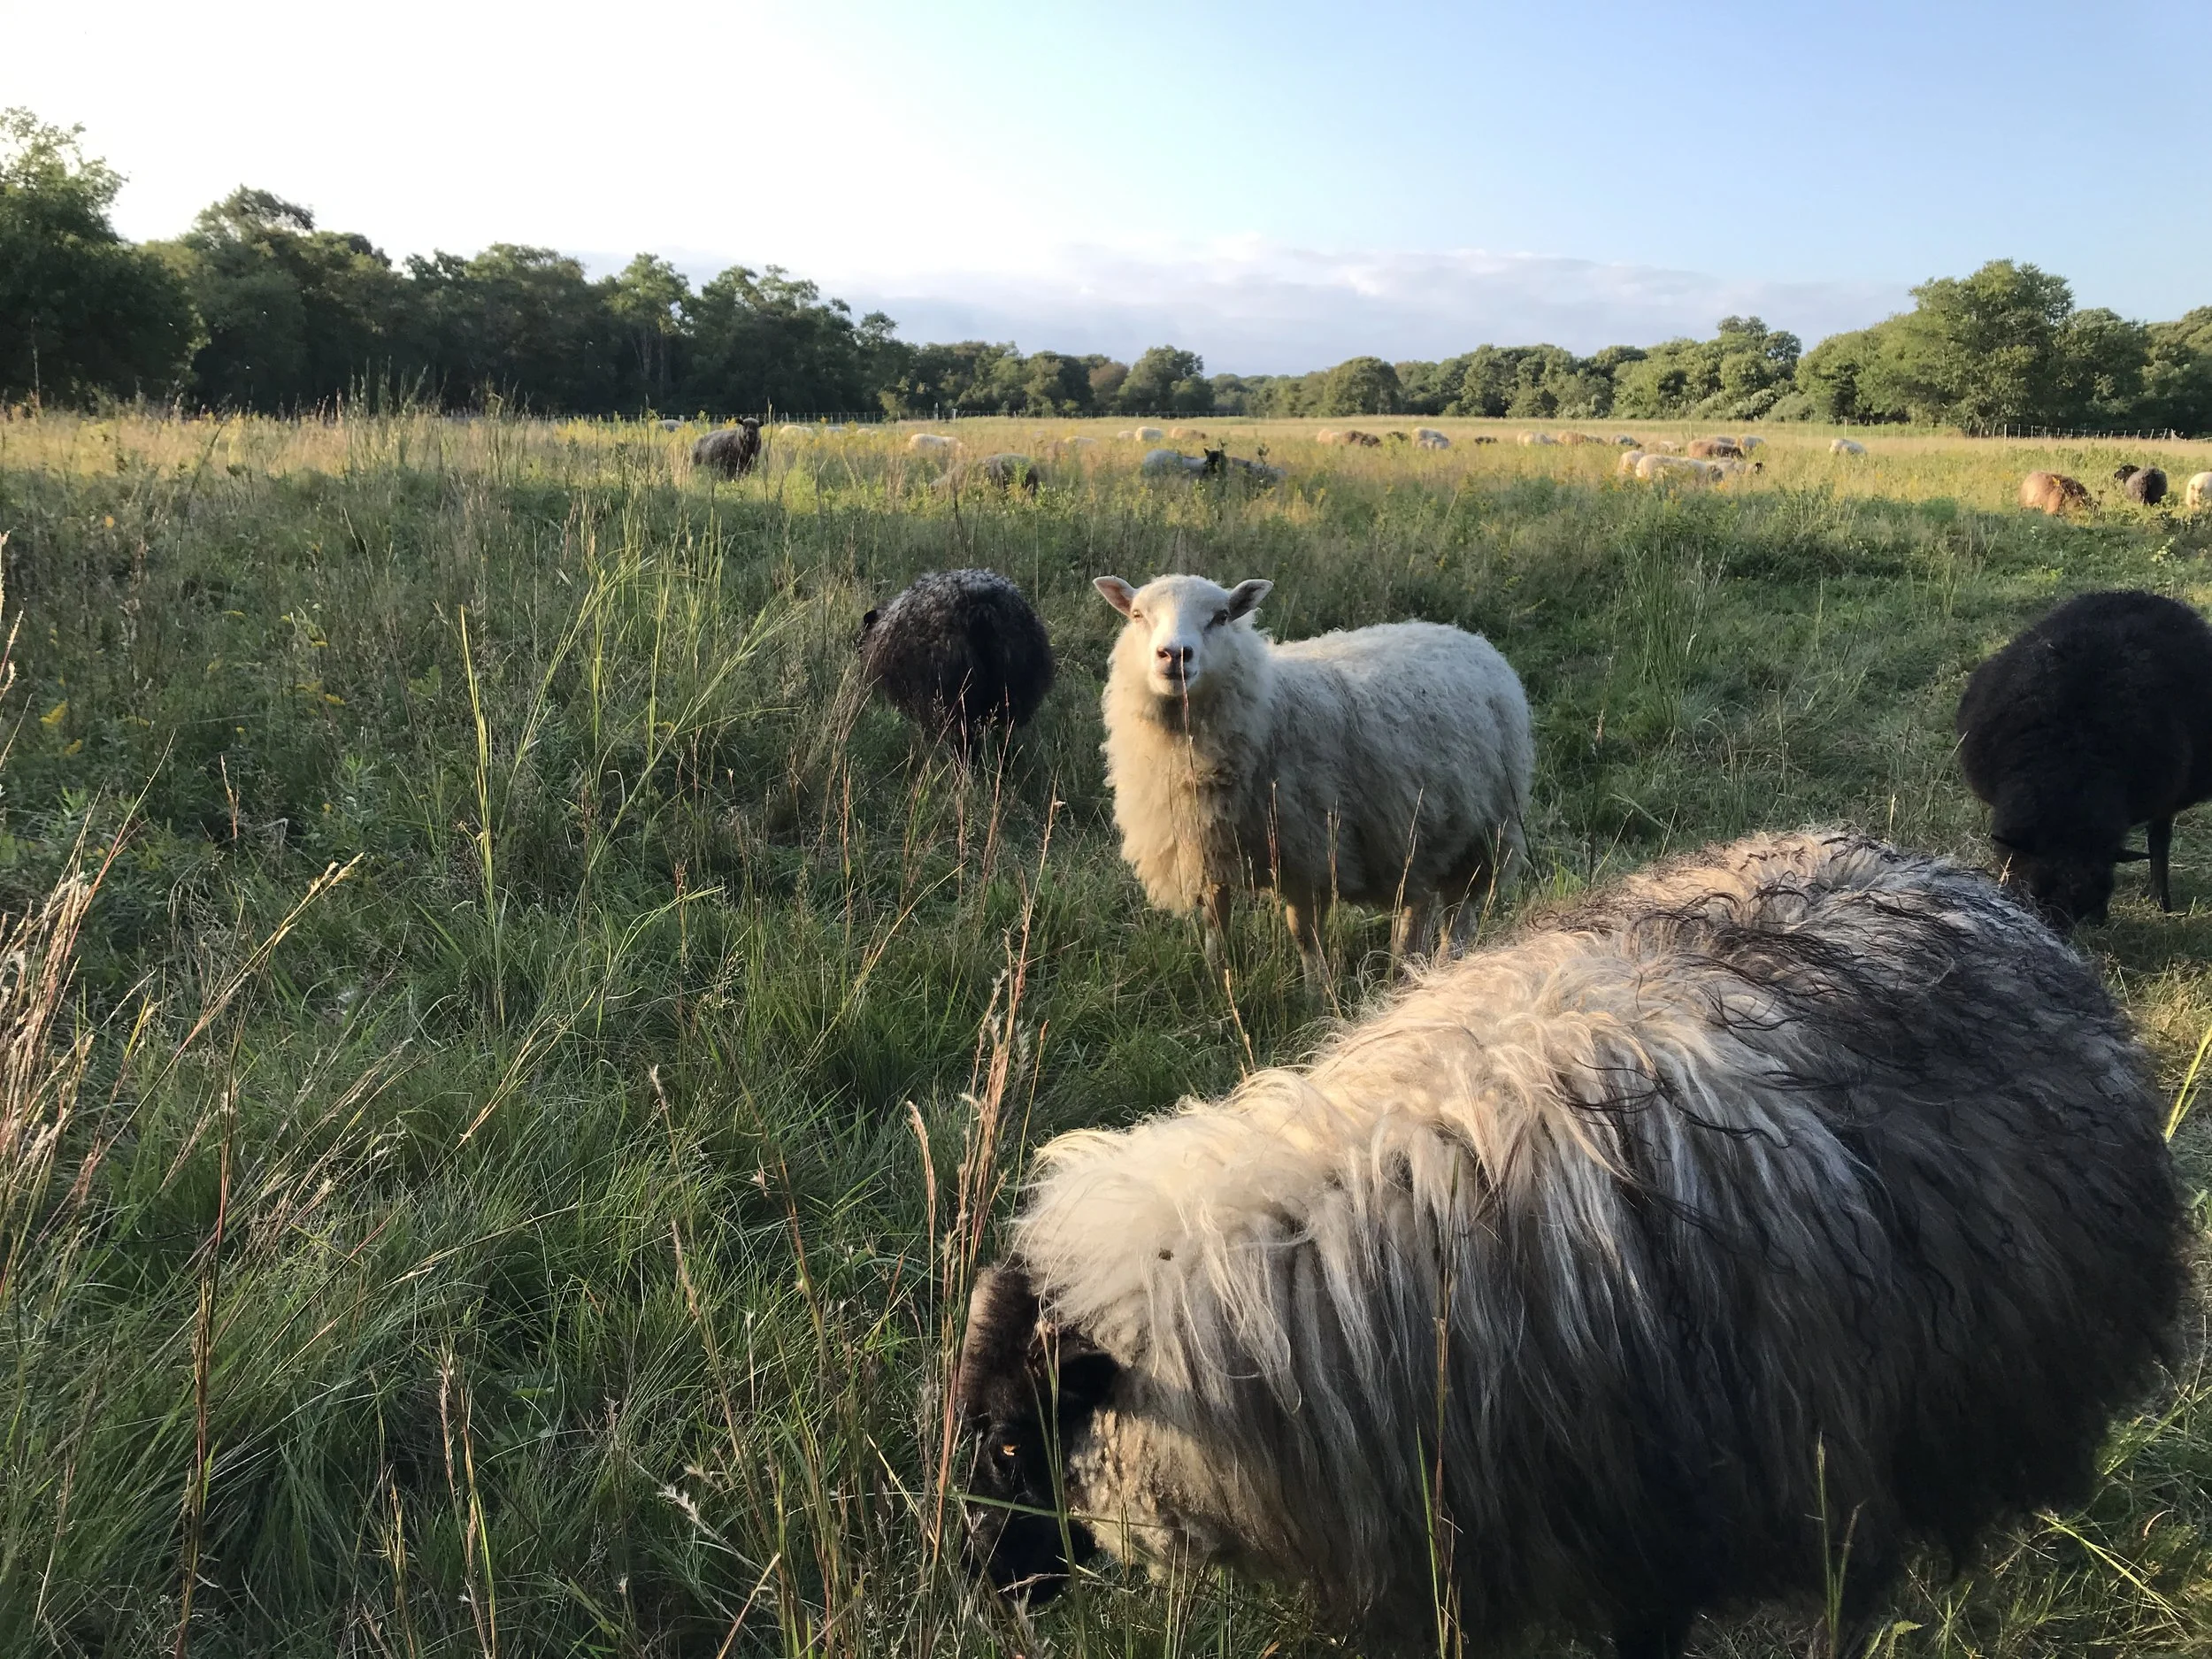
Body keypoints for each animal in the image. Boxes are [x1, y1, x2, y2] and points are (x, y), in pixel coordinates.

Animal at [1090, 574, 1530, 988]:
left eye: (1221, 617)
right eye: (1137, 616)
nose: (1174, 655)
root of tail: (1463, 635)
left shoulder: (1308, 855)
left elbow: (1305, 937)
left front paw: (1318, 997)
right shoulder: (1206, 850)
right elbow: (1216, 928)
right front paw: (1220, 987)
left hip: (1482, 837)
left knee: (1458, 919)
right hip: (1419, 836)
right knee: (1417, 907)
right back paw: (1406, 969)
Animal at [1957, 588, 2212, 925]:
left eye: (2092, 895)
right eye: (2035, 889)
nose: (2052, 935)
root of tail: (2139, 593)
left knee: (2159, 838)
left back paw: (2162, 901)